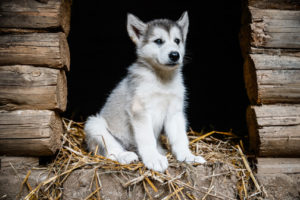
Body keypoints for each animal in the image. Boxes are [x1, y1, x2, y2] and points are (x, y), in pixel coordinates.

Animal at [84, 12, 206, 172]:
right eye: (158, 41)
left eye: (177, 41)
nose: (175, 55)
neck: (162, 80)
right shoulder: (139, 111)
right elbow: (147, 139)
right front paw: (153, 159)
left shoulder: (175, 112)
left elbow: (180, 138)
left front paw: (188, 156)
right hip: (94, 124)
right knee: (111, 150)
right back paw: (125, 155)